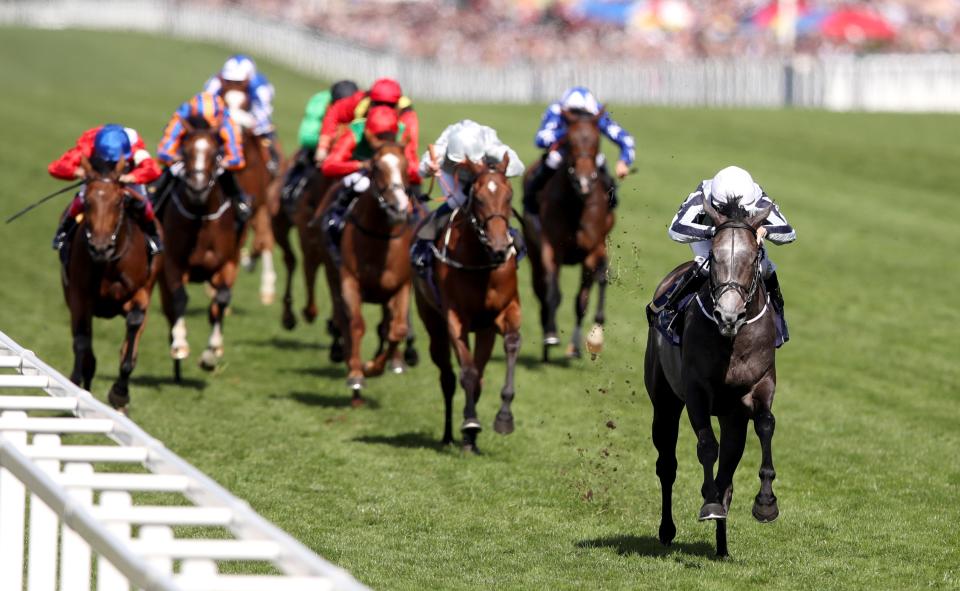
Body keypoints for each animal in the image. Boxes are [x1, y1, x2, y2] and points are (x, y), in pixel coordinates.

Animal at [61, 158, 161, 416]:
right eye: (88, 202)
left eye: (118, 201)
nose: (100, 247)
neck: (109, 263)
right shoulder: (79, 296)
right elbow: (82, 341)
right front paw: (75, 383)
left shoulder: (140, 293)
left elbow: (133, 331)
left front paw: (120, 393)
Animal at [159, 119, 246, 384]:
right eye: (185, 152)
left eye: (216, 153)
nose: (197, 188)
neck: (201, 216)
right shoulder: (173, 263)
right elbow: (180, 299)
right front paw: (179, 343)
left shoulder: (227, 264)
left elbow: (222, 299)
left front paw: (211, 352)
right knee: (169, 308)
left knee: (215, 307)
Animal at [322, 141, 416, 408]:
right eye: (375, 167)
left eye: (405, 166)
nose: (398, 208)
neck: (379, 238)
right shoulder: (349, 281)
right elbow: (355, 325)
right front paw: (357, 374)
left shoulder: (402, 284)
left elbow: (397, 329)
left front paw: (375, 366)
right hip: (333, 278)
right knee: (343, 322)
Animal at [410, 154, 520, 454]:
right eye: (479, 198)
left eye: (509, 195)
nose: (499, 248)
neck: (482, 263)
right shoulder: (455, 317)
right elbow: (467, 373)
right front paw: (470, 422)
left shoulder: (504, 311)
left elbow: (511, 344)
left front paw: (504, 417)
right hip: (433, 323)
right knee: (448, 378)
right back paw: (450, 434)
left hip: (484, 331)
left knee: (479, 375)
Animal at [524, 111, 616, 360]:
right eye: (570, 141)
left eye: (596, 140)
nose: (584, 181)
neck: (577, 203)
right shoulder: (551, 249)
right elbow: (553, 293)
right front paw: (550, 334)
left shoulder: (593, 251)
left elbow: (583, 300)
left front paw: (585, 343)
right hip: (533, 253)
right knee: (541, 290)